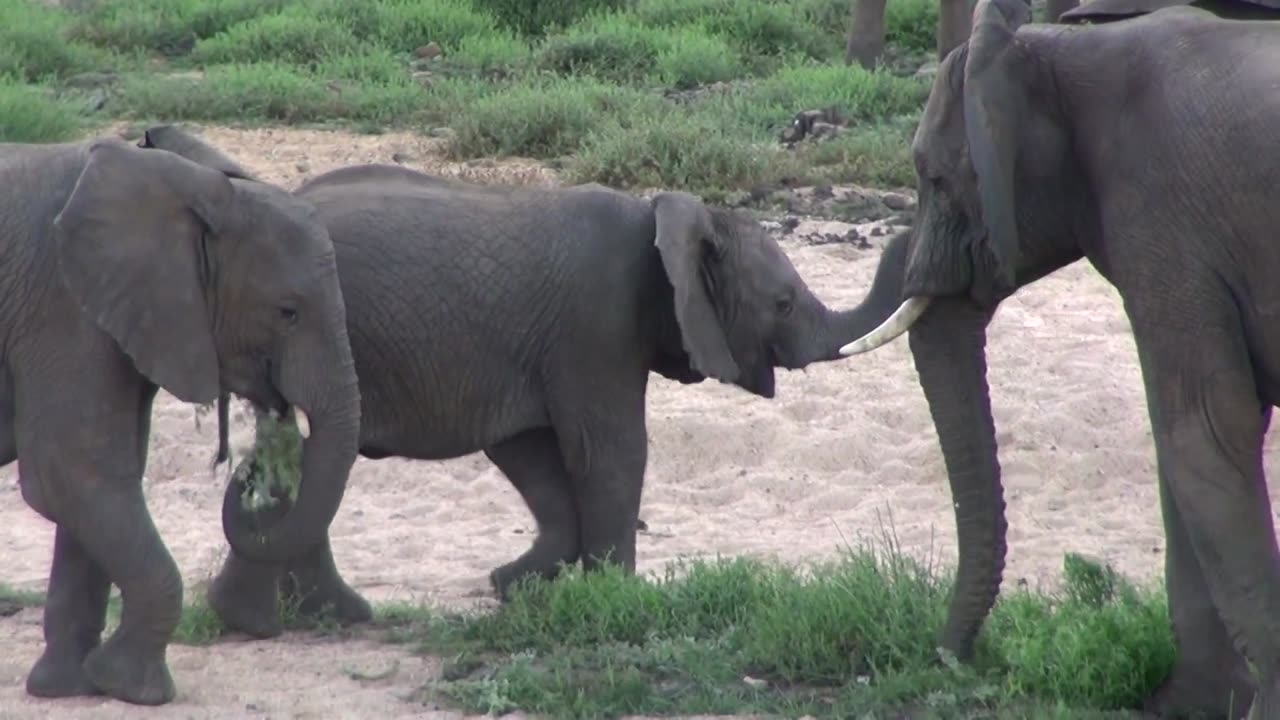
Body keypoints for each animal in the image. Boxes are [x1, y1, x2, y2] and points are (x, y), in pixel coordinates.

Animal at [1, 131, 360, 702]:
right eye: (287, 312)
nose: (250, 467)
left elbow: (103, 481)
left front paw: (72, 687)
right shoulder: (61, 309)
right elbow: (72, 477)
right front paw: (135, 689)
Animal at [140, 124, 911, 638]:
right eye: (782, 303)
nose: (906, 239)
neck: (666, 213)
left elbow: (532, 452)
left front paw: (515, 586)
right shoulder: (596, 322)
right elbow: (609, 451)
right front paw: (613, 598)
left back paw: (283, 619)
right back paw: (312, 620)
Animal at [839, 2, 1280, 712]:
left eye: (935, 177)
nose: (949, 656)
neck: (1057, 53)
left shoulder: (1162, 219)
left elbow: (1204, 427)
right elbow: (1185, 443)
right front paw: (1192, 706)